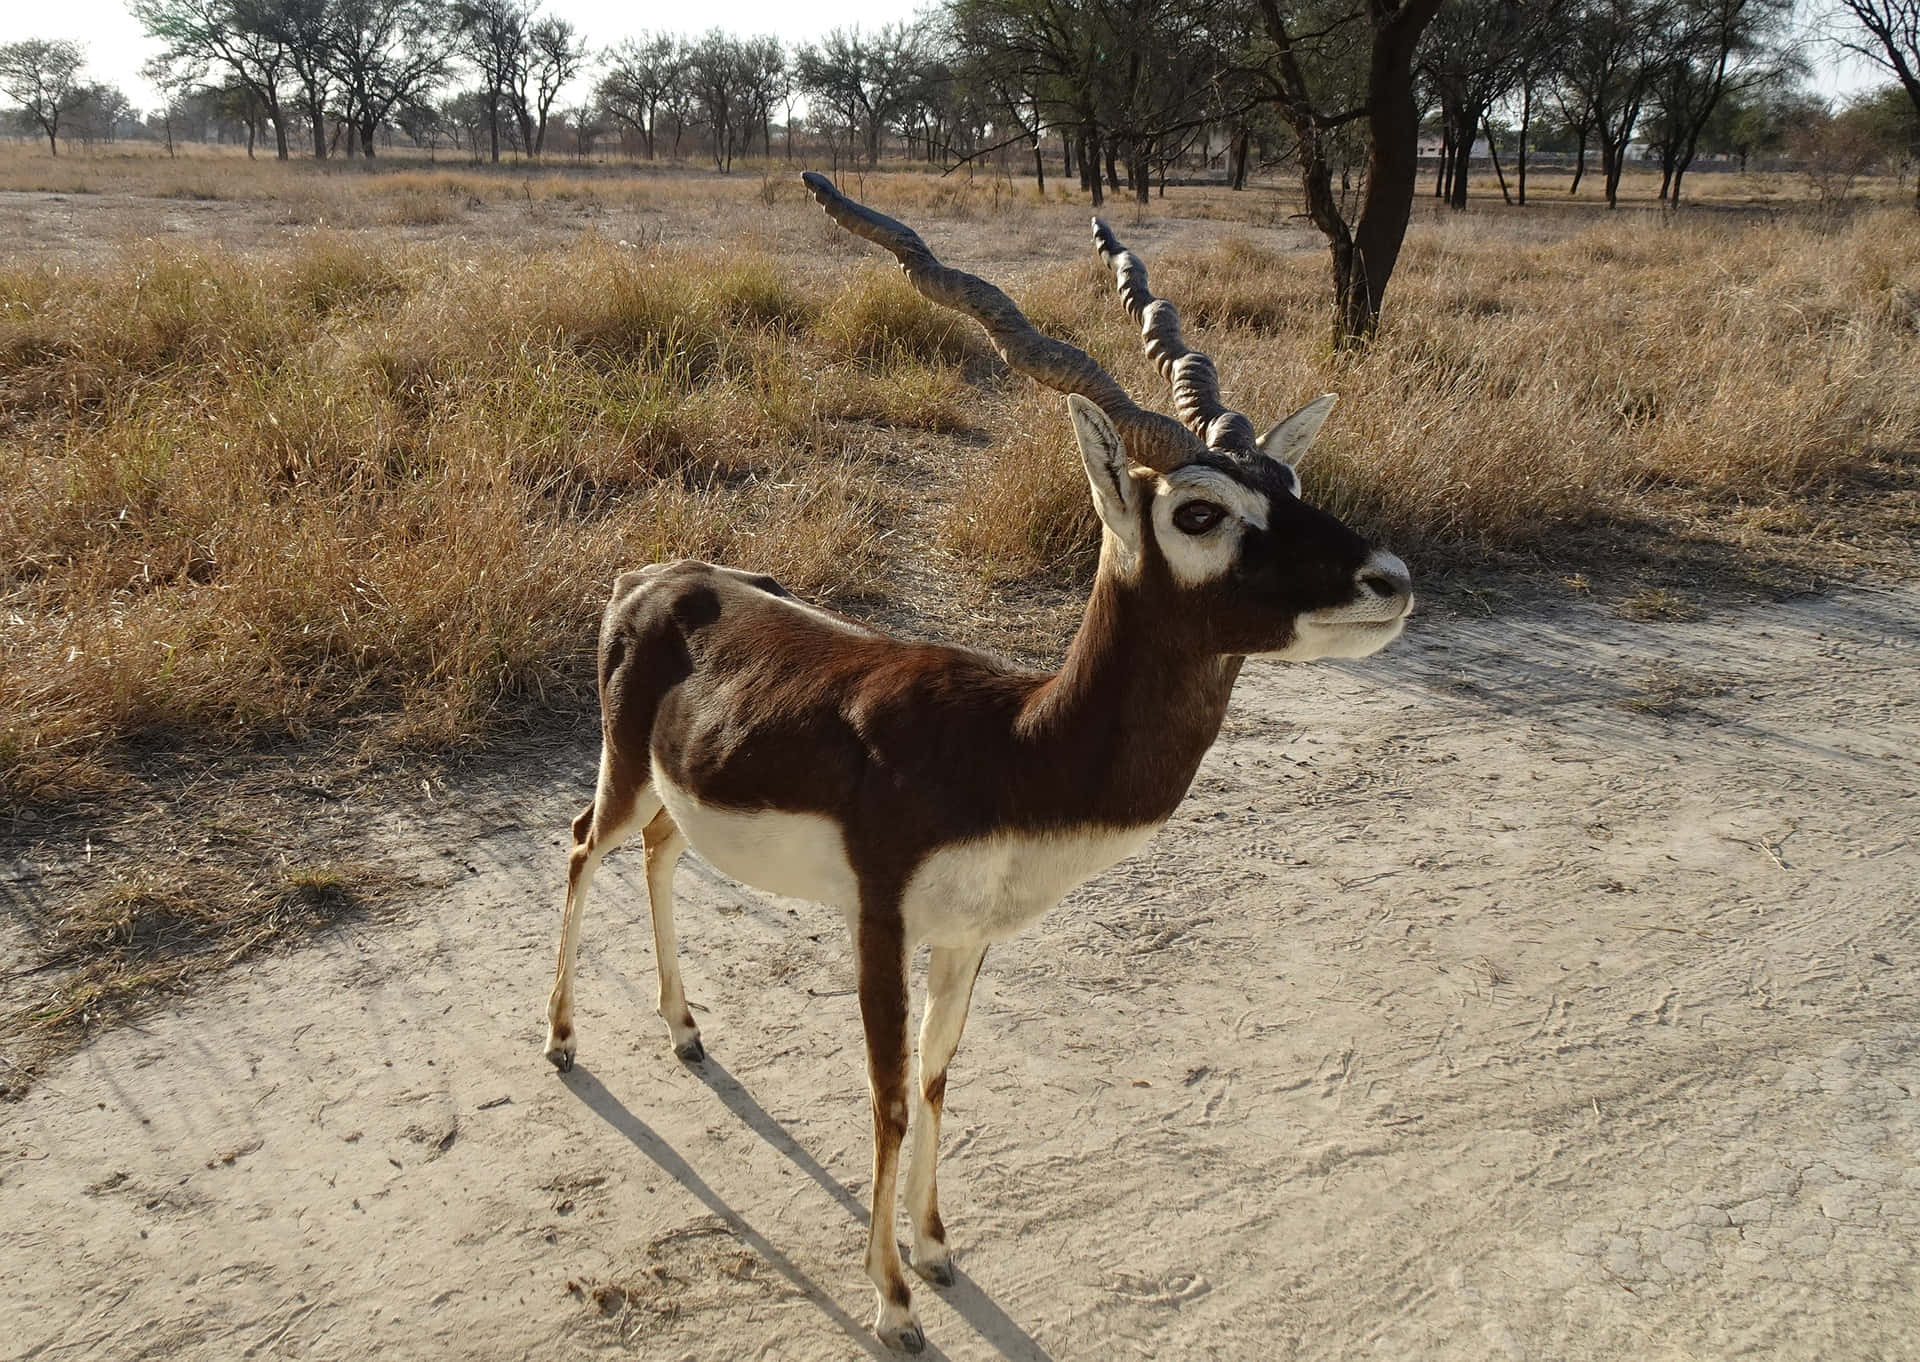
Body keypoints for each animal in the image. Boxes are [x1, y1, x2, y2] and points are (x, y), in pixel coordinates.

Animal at [541, 175, 1413, 1352]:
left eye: (1292, 480)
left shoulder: (967, 938)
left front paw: (937, 1250)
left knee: (662, 854)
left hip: (680, 789)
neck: (1014, 747)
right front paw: (892, 1304)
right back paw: (561, 1043)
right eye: (1199, 510)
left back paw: (686, 1036)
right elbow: (886, 1094)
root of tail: (653, 576)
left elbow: (940, 1078)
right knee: (584, 847)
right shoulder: (880, 920)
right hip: (624, 769)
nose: (1390, 578)